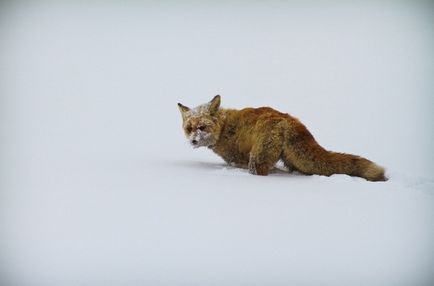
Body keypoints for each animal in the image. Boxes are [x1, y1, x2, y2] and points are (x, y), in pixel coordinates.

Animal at [176, 95, 386, 181]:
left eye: (202, 127)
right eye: (189, 128)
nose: (193, 141)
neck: (225, 127)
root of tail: (289, 120)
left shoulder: (239, 159)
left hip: (257, 160)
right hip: (293, 161)